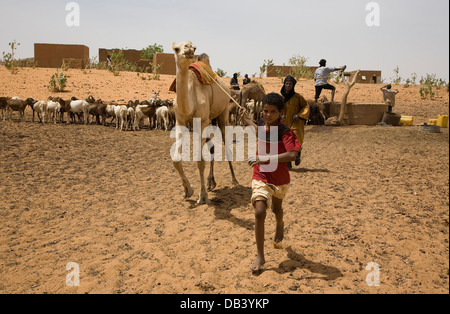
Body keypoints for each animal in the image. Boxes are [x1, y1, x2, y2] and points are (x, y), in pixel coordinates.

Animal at [171, 41, 239, 205]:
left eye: (193, 47)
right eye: (176, 49)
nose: (188, 49)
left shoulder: (201, 122)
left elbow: (200, 161)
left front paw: (202, 196)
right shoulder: (180, 121)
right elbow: (176, 159)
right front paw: (188, 190)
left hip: (223, 112)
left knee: (226, 146)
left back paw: (234, 180)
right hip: (210, 120)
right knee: (212, 147)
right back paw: (210, 182)